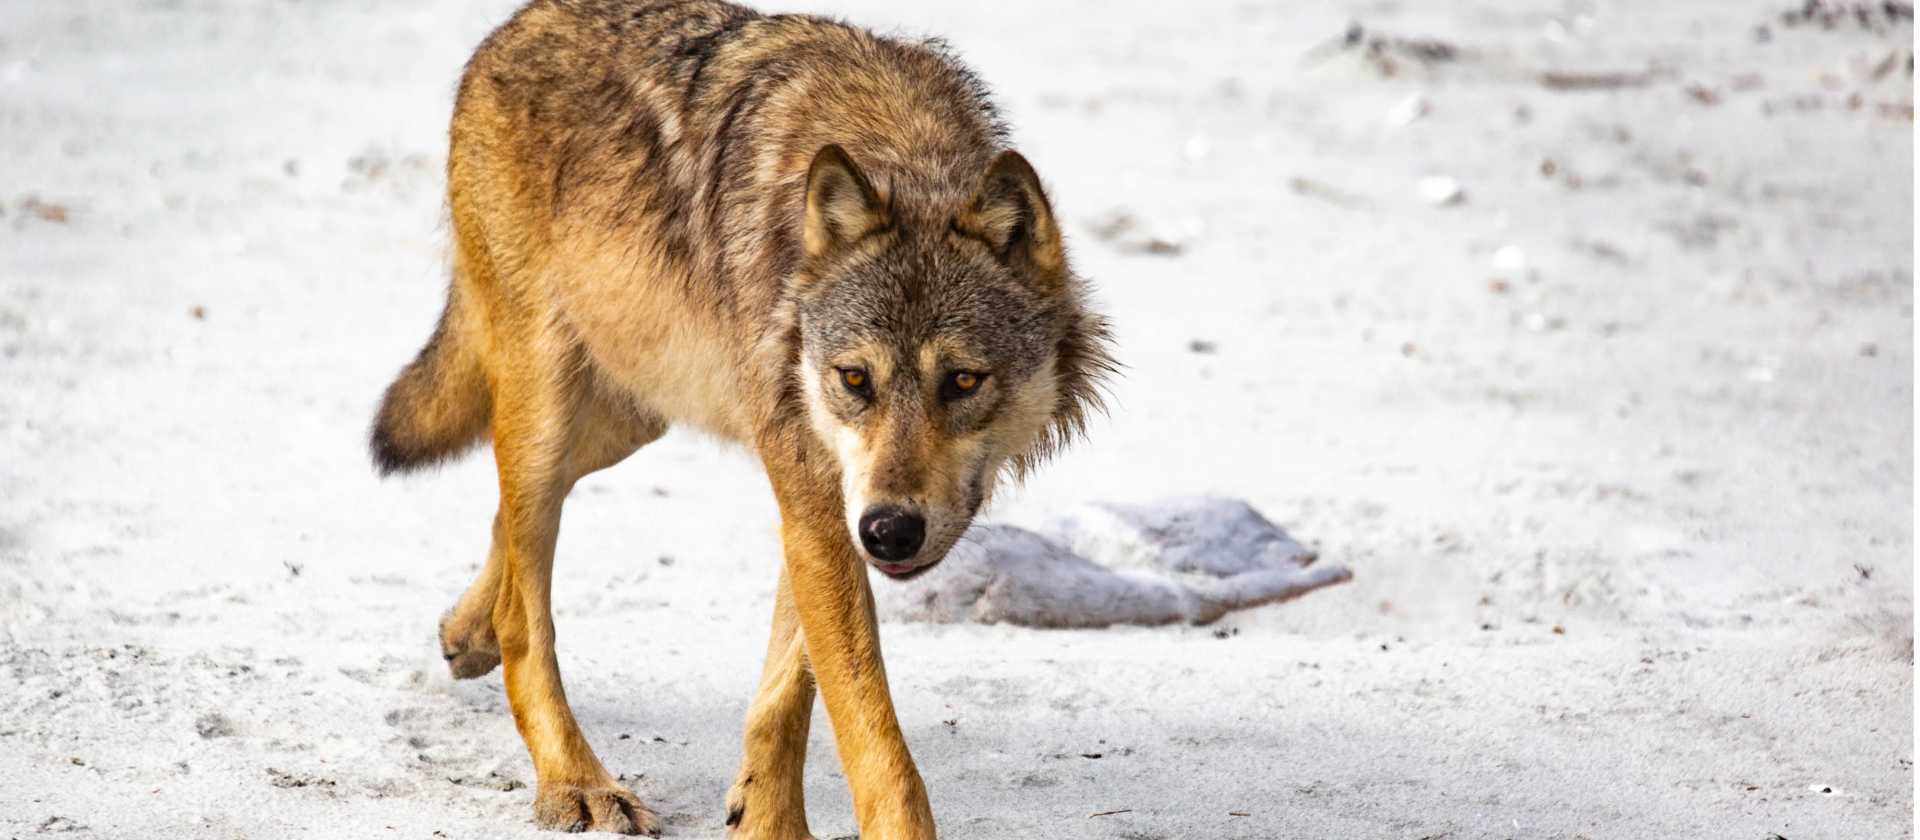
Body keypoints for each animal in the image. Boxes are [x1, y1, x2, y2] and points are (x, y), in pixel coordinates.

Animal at [369, 0, 1112, 836]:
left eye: (962, 381)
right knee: (527, 613)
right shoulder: (818, 497)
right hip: (552, 401)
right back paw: (575, 781)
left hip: (634, 409)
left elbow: (789, 691)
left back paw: (468, 635)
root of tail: (516, 25)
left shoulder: (824, 495)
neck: (900, 153)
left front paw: (764, 820)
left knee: (510, 528)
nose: (890, 532)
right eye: (855, 379)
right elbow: (876, 744)